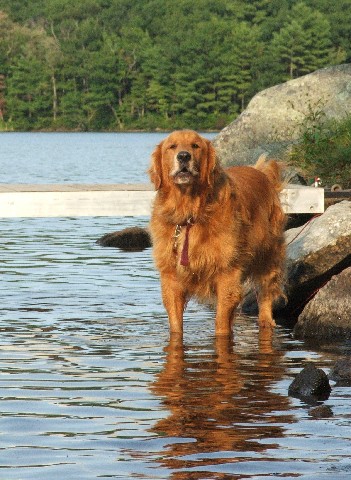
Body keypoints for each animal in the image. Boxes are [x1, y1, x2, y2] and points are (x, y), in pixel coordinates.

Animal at [148, 129, 286, 336]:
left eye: (195, 146)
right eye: (172, 146)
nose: (183, 156)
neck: (190, 213)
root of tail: (261, 172)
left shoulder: (227, 273)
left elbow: (221, 323)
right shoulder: (171, 277)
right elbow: (176, 326)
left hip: (269, 254)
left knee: (266, 292)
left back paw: (266, 320)